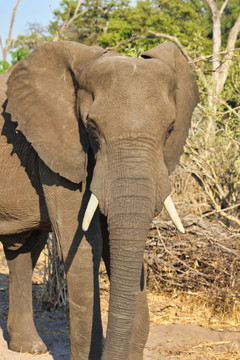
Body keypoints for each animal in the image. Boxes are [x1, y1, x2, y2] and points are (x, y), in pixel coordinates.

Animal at [0, 40, 199, 360]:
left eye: (170, 129)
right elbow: (86, 244)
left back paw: (30, 348)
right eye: (92, 126)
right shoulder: (58, 146)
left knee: (24, 248)